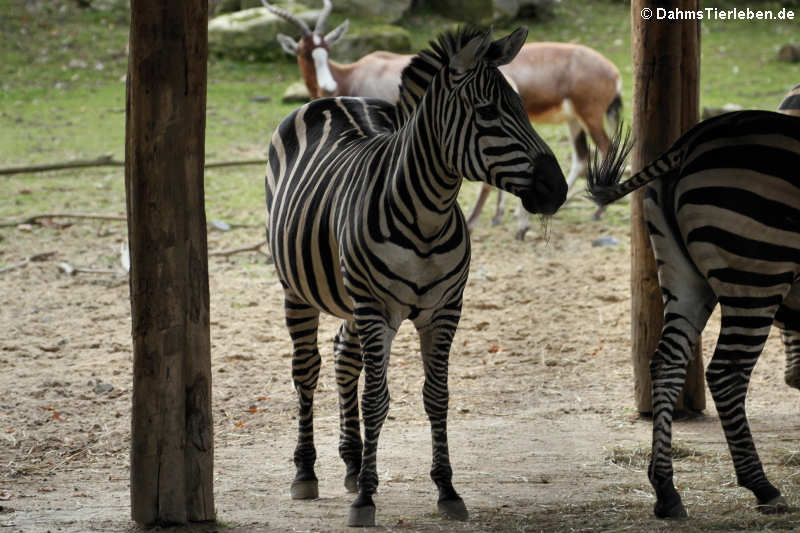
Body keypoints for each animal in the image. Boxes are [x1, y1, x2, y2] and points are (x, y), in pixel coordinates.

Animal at [266, 0, 620, 239]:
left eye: (325, 50)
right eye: (304, 51)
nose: (326, 87)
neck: (355, 74)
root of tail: (613, 72)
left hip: (586, 117)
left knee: (602, 150)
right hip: (573, 120)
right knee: (580, 157)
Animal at [266, 26, 564, 524]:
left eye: (523, 108)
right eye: (488, 112)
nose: (557, 190)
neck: (428, 215)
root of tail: (338, 97)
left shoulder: (444, 310)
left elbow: (437, 396)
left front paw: (446, 490)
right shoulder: (375, 308)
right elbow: (376, 400)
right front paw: (366, 500)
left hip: (350, 300)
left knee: (344, 357)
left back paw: (352, 464)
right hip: (299, 290)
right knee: (307, 369)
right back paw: (306, 472)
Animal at [584, 109, 800, 520]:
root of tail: (692, 139)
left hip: (683, 276)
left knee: (667, 362)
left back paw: (666, 491)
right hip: (756, 273)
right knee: (727, 374)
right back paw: (762, 487)